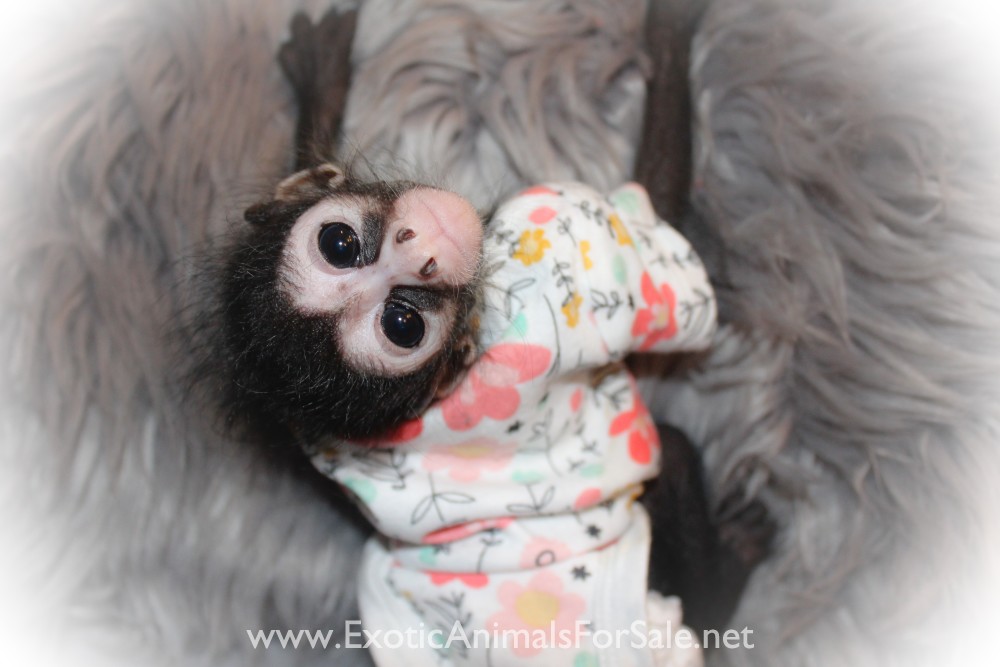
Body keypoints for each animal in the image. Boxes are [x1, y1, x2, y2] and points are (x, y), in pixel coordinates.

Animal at [197, 4, 773, 664]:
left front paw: (318, 70)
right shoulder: (551, 242)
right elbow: (655, 217)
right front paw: (673, 27)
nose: (417, 253)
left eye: (338, 243)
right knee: (676, 461)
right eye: (404, 324)